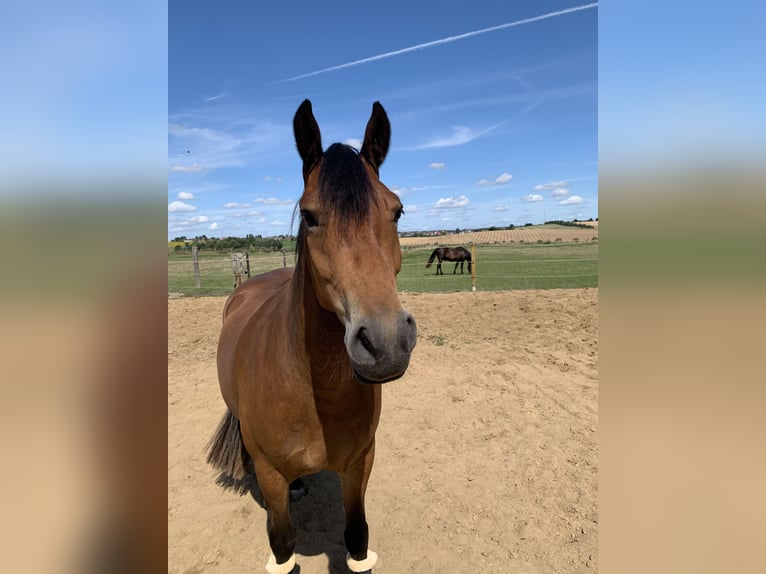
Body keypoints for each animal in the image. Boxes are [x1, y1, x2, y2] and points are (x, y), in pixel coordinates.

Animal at [207, 100, 416, 574]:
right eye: (309, 216)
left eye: (396, 211)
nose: (386, 342)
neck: (313, 391)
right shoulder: (270, 476)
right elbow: (283, 545)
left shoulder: (360, 464)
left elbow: (357, 539)